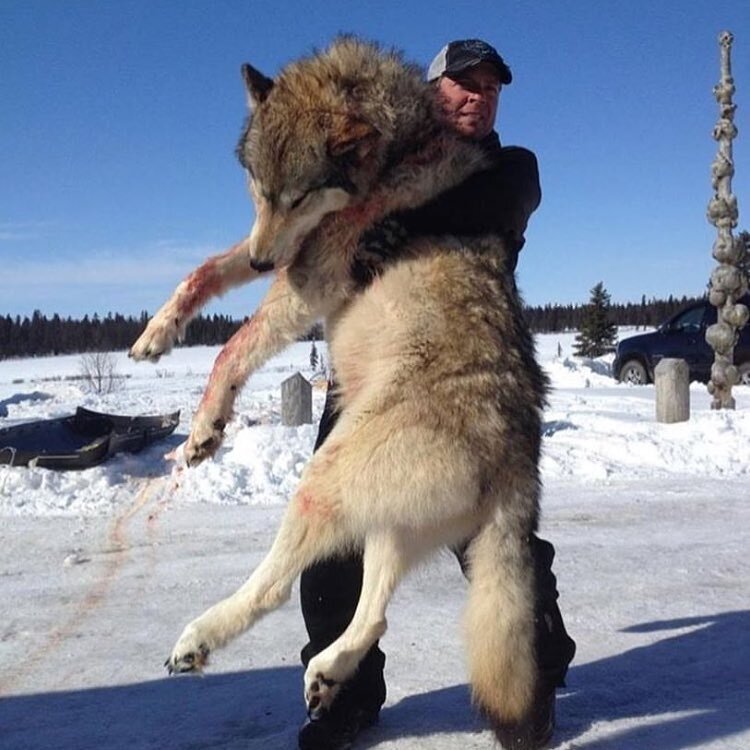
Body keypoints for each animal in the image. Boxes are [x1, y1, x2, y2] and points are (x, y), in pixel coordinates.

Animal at [131, 38, 548, 736]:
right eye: (261, 189)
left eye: (301, 196)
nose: (265, 258)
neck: (397, 150)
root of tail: (518, 456)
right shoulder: (279, 251)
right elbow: (204, 272)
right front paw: (155, 336)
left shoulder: (308, 279)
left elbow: (231, 350)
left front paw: (205, 427)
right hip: (378, 516)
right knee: (373, 613)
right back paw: (327, 675)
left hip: (322, 486)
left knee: (276, 586)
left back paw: (199, 639)